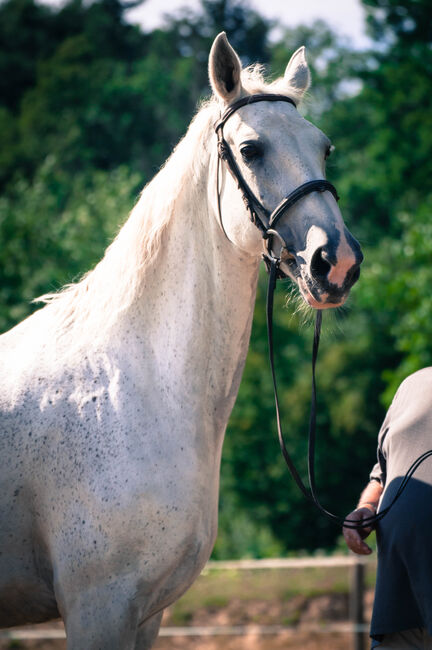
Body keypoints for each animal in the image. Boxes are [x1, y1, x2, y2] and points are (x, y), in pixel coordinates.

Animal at [0, 34, 362, 644]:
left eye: (325, 149)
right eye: (251, 149)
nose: (335, 262)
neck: (136, 385)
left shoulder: (147, 615)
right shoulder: (99, 607)